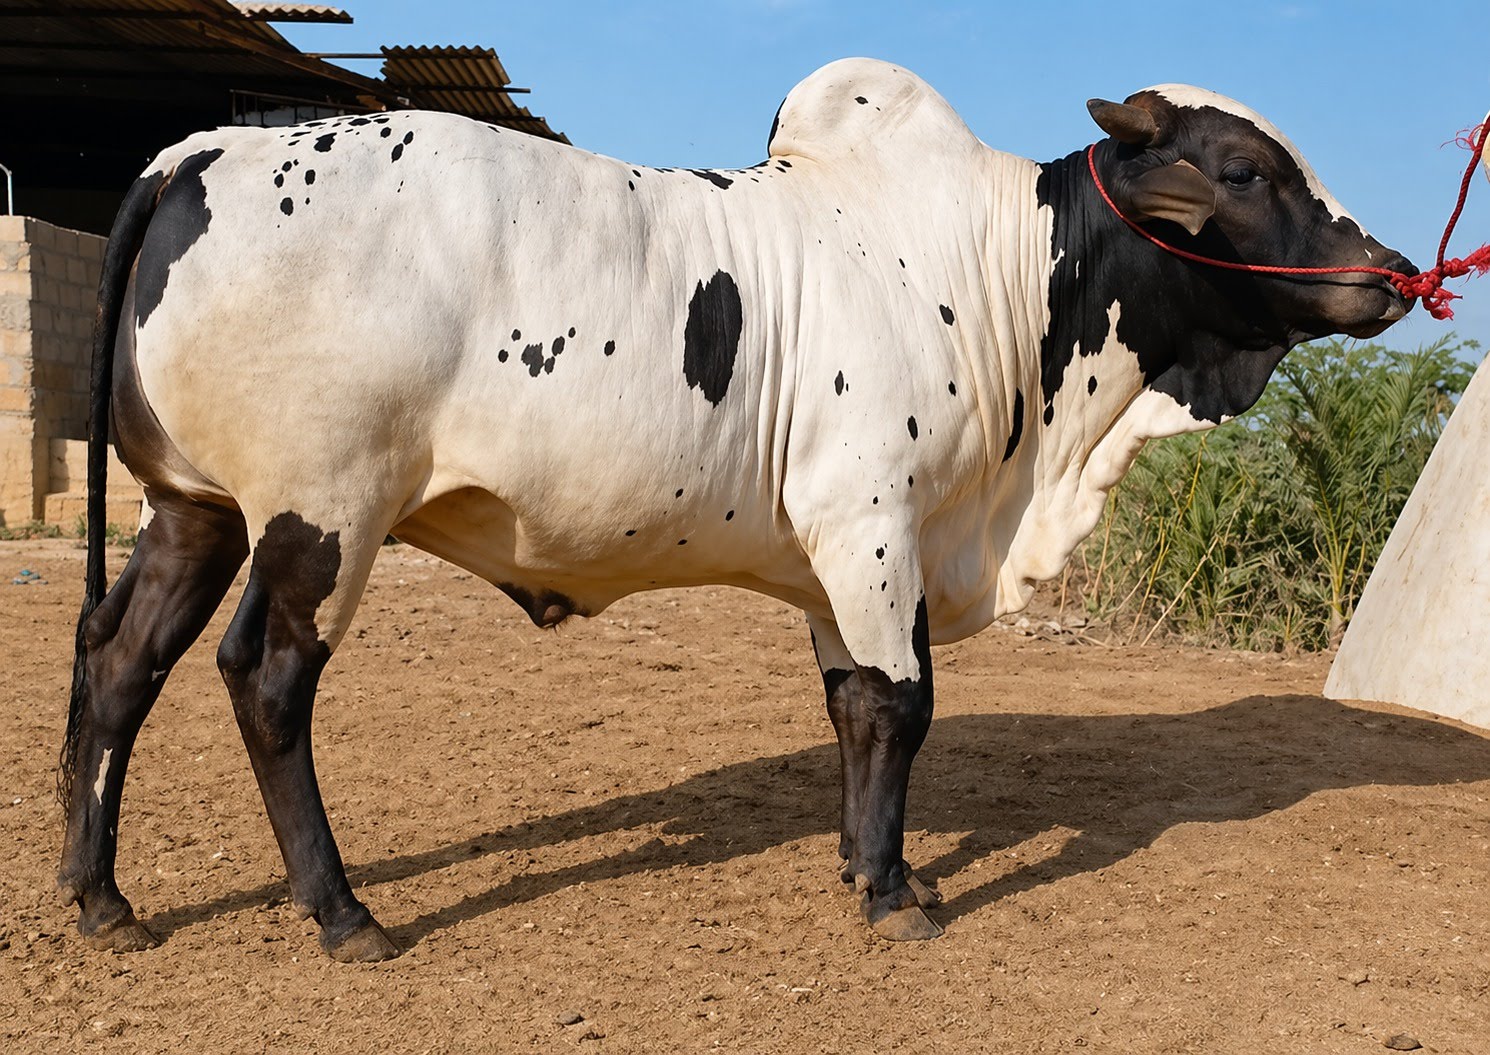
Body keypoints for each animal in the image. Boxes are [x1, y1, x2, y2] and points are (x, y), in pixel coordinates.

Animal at [56, 58, 1413, 961]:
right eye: (1241, 170)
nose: (1394, 273)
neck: (1000, 279)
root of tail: (201, 154)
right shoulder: (871, 520)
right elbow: (900, 703)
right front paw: (889, 892)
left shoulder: (846, 557)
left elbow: (854, 707)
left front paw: (871, 863)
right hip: (319, 513)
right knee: (266, 681)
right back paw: (342, 911)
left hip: (192, 509)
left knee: (120, 661)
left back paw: (101, 896)